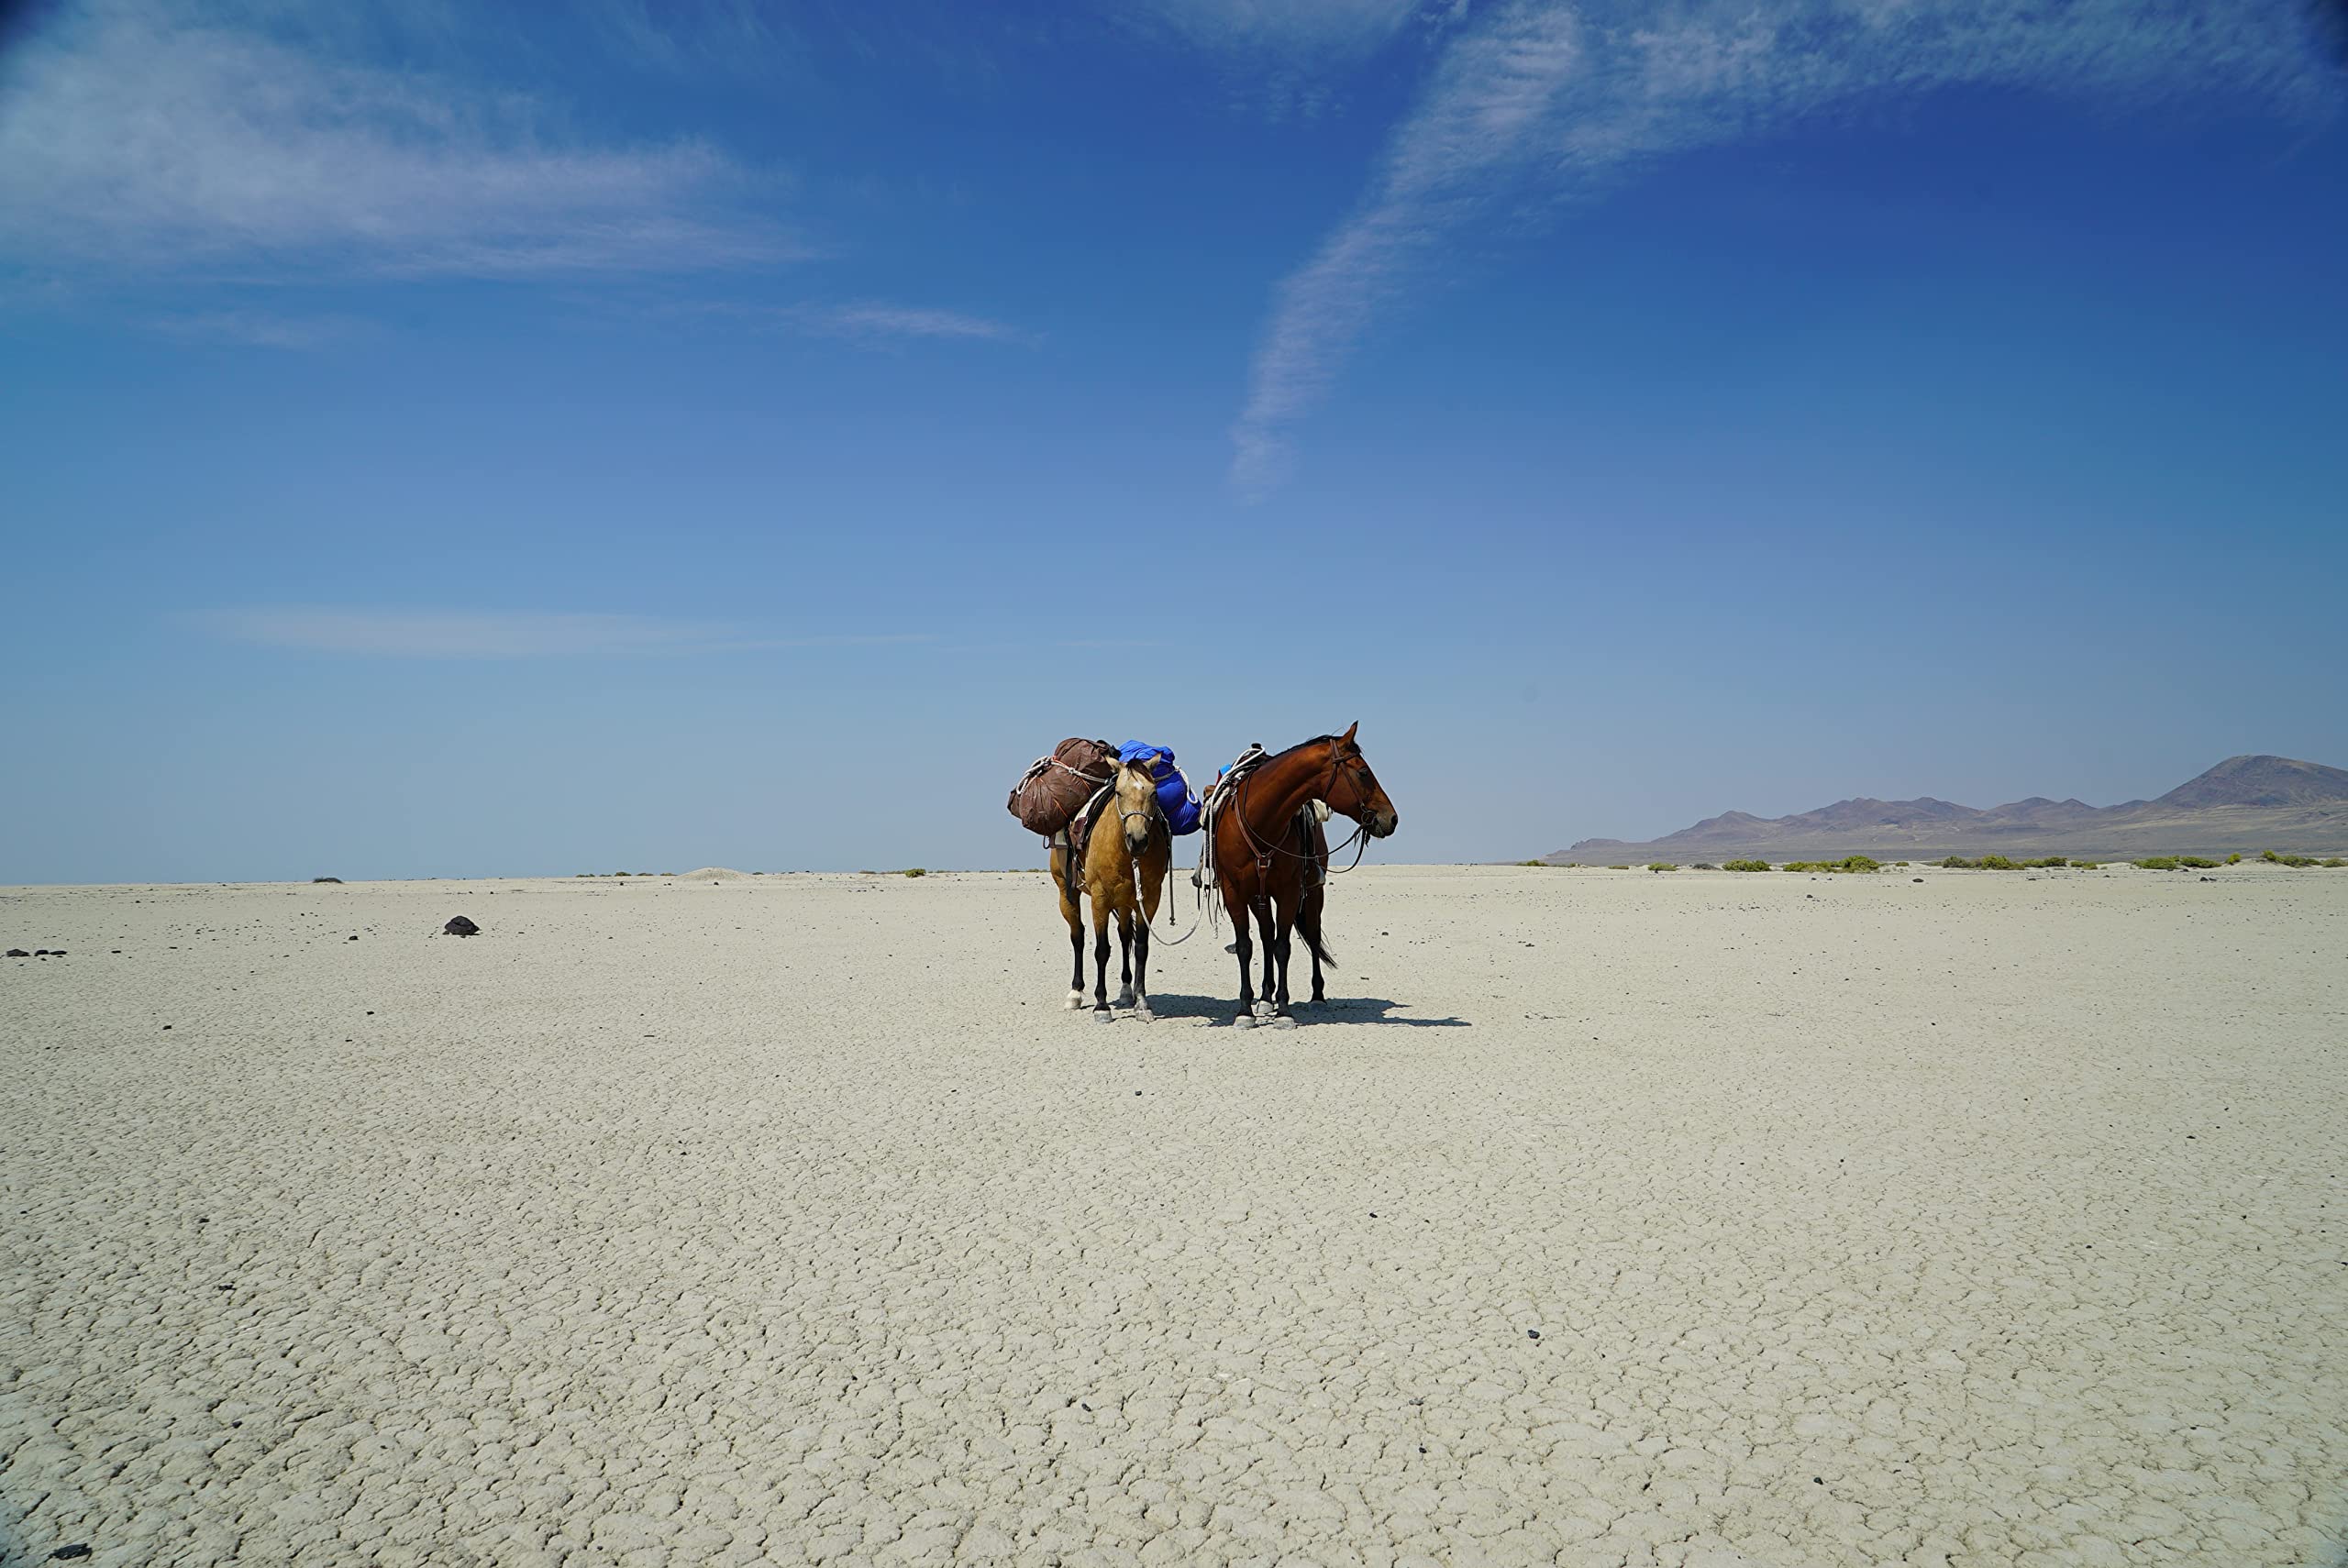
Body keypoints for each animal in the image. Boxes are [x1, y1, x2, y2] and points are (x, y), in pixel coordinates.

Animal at [1050, 759, 1171, 1020]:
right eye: (1118, 792)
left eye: (1154, 793)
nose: (1138, 839)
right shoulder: (1100, 899)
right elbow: (1102, 950)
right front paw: (1101, 1005)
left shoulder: (1149, 899)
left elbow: (1141, 948)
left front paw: (1141, 1002)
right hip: (1067, 892)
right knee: (1078, 936)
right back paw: (1075, 993)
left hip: (1125, 901)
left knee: (1125, 936)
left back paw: (1126, 991)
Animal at [1207, 723, 1397, 1028]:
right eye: (1363, 772)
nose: (1391, 818)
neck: (1261, 819)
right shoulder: (1235, 892)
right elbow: (1246, 946)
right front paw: (1245, 1010)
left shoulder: (1288, 891)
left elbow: (1283, 947)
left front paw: (1284, 1011)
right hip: (1259, 897)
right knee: (1266, 936)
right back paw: (1265, 998)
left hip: (1313, 893)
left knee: (1312, 933)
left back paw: (1317, 996)